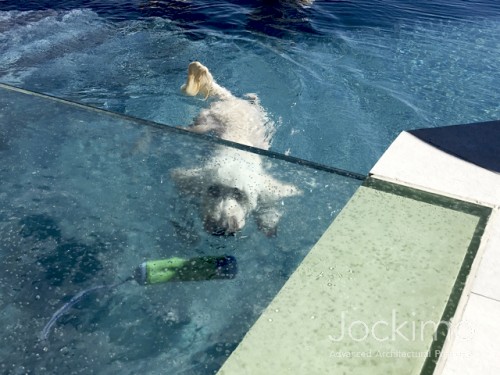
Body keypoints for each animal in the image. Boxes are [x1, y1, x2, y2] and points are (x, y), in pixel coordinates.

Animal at [171, 62, 300, 236]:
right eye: (213, 190)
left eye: (239, 194)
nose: (221, 227)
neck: (235, 154)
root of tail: (232, 99)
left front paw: (268, 222)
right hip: (208, 119)